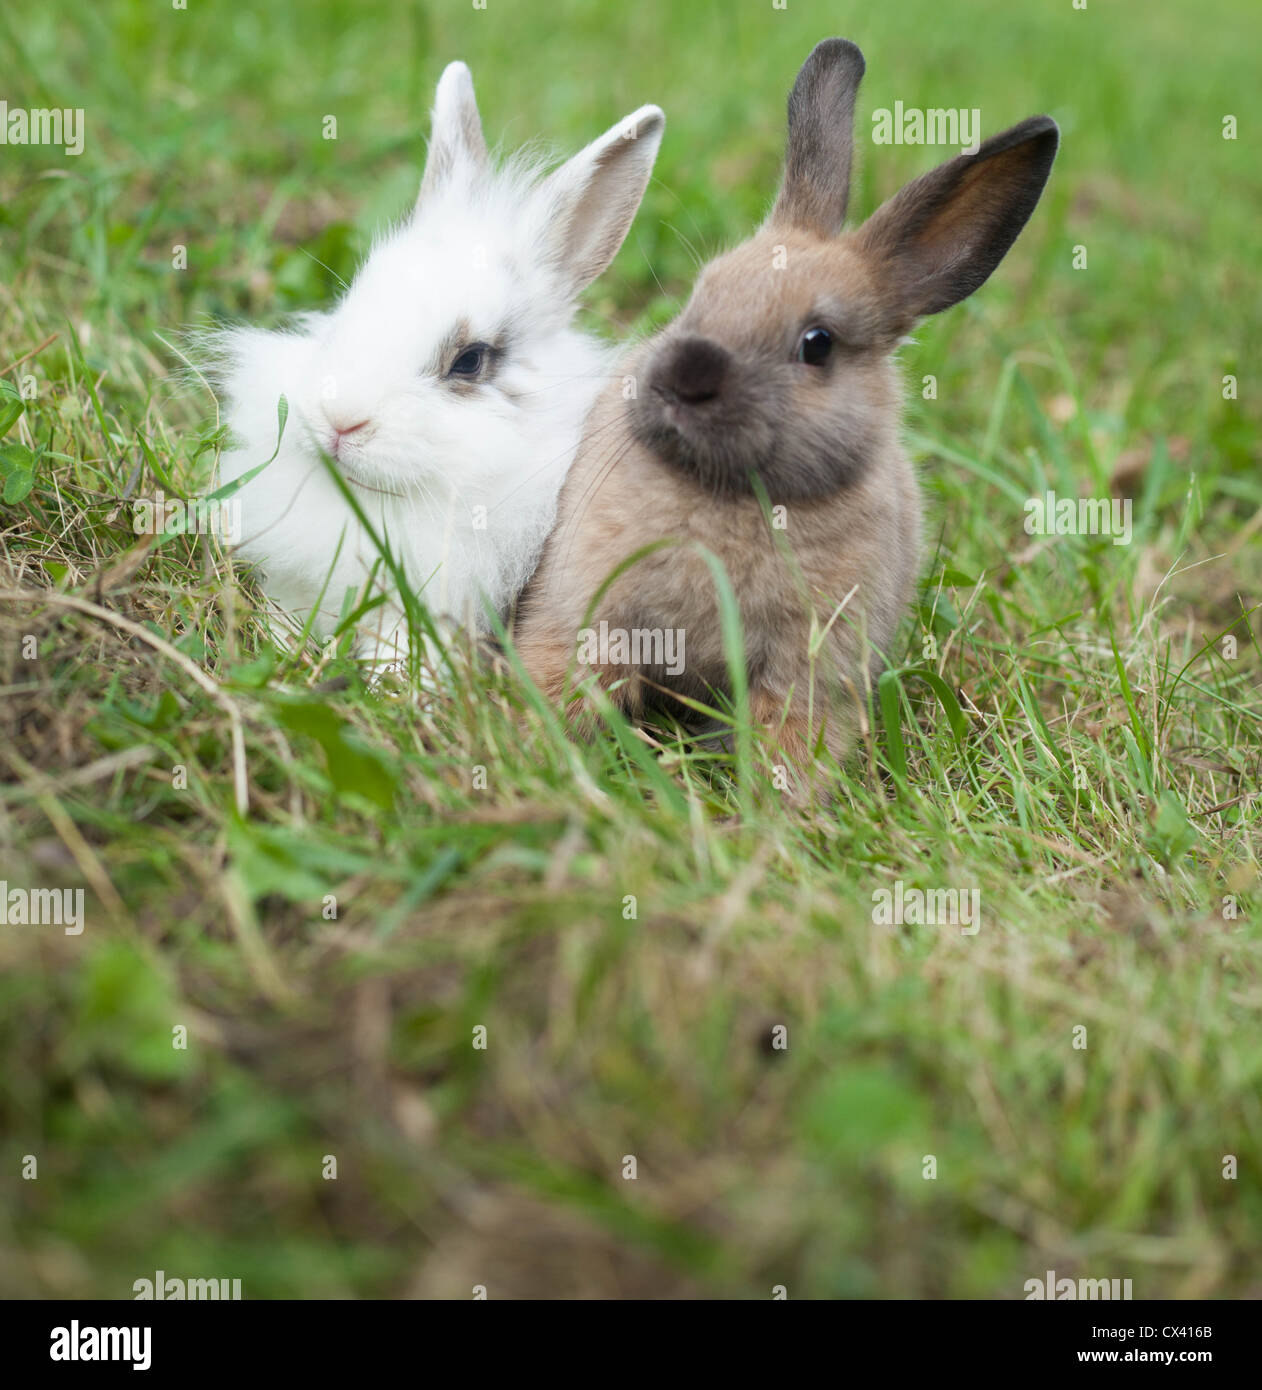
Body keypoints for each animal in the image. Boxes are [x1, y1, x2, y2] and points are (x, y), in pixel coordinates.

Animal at [513, 38, 1058, 798]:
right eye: (699, 294)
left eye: (817, 343)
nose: (683, 378)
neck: (730, 496)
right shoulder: (589, 615)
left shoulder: (810, 668)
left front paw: (771, 809)